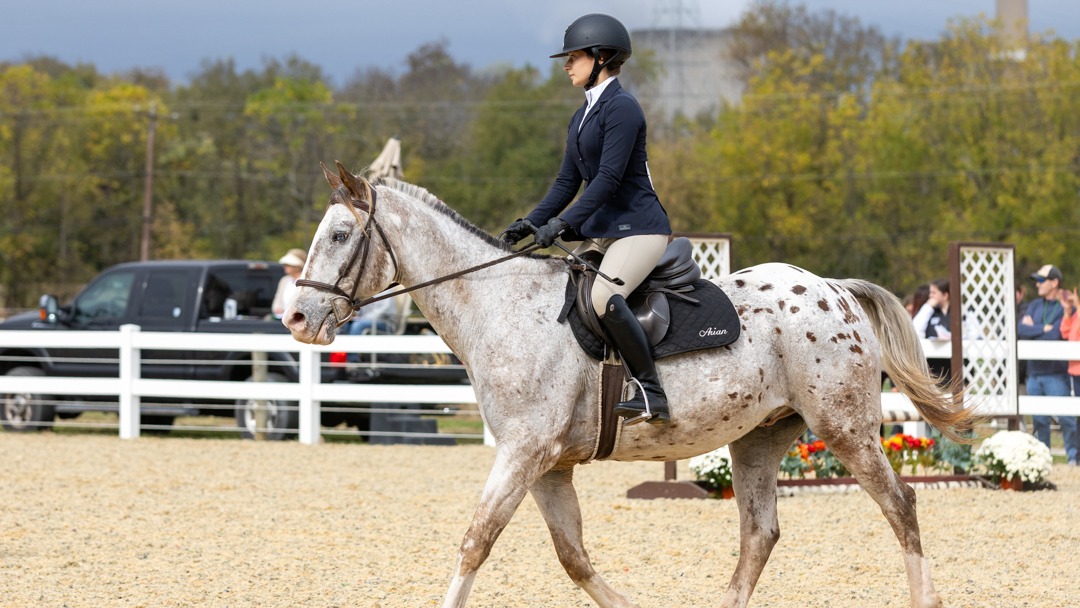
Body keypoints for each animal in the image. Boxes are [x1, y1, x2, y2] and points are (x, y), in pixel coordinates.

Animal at [283, 163, 977, 608]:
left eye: (340, 235)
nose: (296, 319)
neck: (500, 307)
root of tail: (835, 289)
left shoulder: (523, 453)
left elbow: (476, 542)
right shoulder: (548, 466)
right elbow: (573, 557)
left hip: (844, 426)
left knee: (900, 506)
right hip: (759, 437)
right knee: (759, 532)